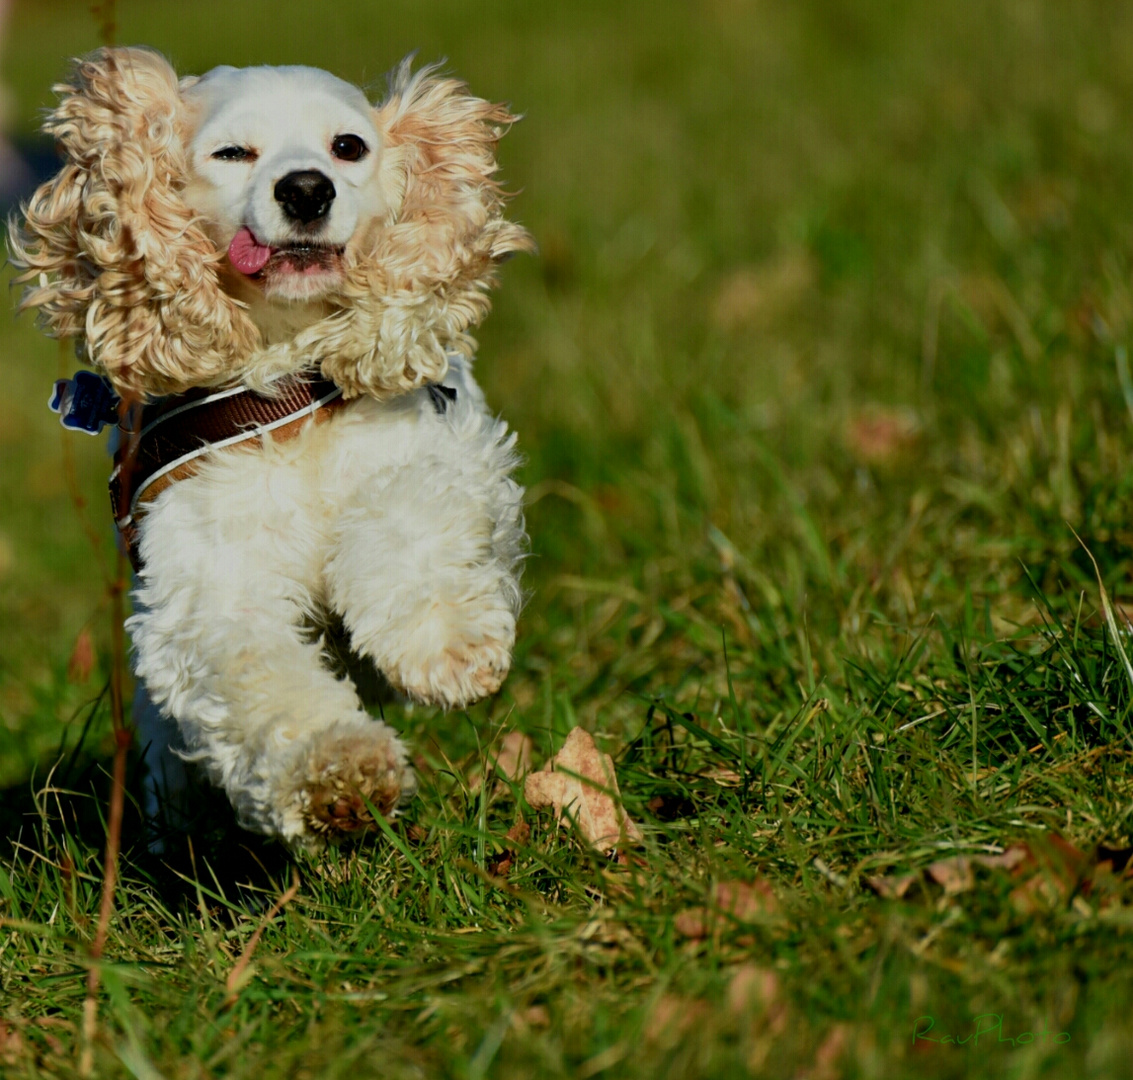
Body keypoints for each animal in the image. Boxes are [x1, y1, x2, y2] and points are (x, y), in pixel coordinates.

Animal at [8, 48, 532, 843]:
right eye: (233, 153)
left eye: (347, 146)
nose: (307, 188)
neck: (285, 385)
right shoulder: (207, 581)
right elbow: (256, 668)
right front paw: (336, 768)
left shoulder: (455, 455)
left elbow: (405, 519)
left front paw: (444, 644)